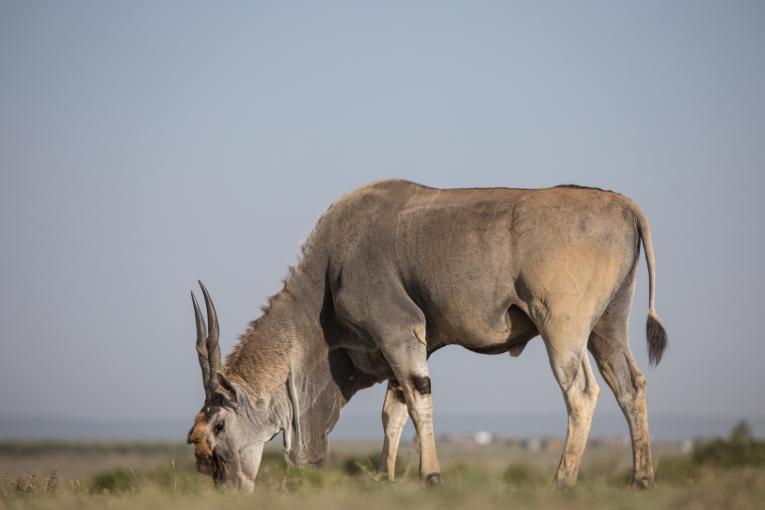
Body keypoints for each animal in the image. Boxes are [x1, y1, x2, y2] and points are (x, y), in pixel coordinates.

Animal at [188, 179, 664, 490]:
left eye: (218, 425)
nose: (225, 484)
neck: (329, 267)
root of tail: (623, 205)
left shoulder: (399, 333)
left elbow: (418, 401)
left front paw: (430, 475)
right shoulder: (405, 347)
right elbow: (393, 412)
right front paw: (386, 477)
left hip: (562, 329)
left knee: (581, 392)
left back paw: (562, 480)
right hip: (607, 328)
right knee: (631, 385)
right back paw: (641, 479)